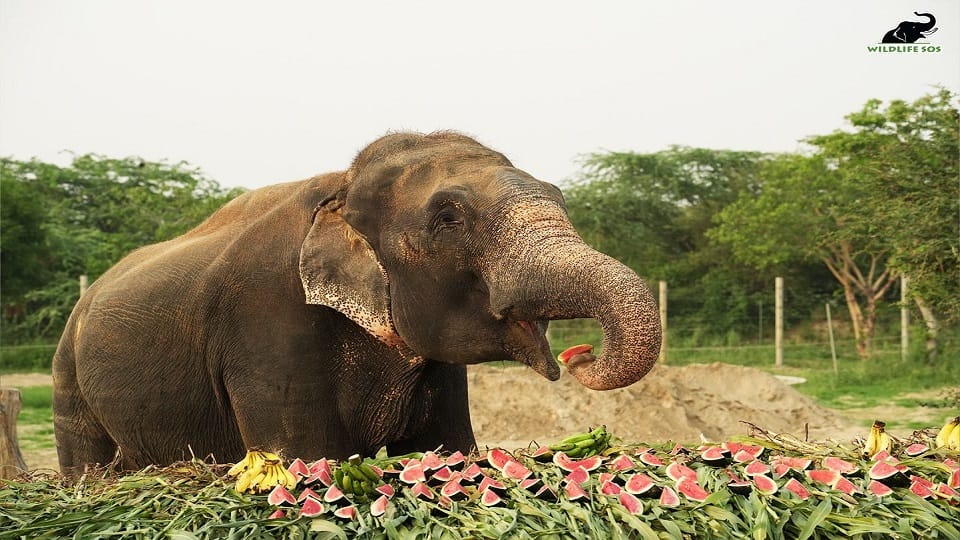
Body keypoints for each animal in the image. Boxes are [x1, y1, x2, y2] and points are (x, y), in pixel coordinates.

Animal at [52, 131, 662, 474]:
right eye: (449, 218)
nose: (579, 355)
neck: (342, 185)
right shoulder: (267, 324)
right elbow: (305, 455)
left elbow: (447, 445)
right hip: (66, 372)